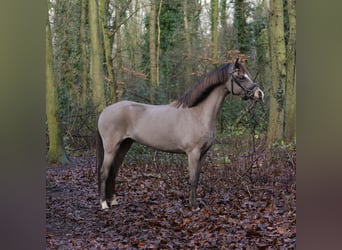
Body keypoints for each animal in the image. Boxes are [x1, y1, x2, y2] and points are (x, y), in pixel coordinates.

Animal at [96, 58, 264, 209]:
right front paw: (193, 206)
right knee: (104, 172)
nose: (260, 93)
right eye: (240, 77)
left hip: (124, 145)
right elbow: (193, 179)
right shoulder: (193, 153)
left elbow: (197, 178)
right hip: (111, 148)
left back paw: (113, 201)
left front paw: (194, 203)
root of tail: (105, 111)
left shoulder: (203, 154)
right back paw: (104, 204)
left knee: (113, 171)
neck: (198, 114)